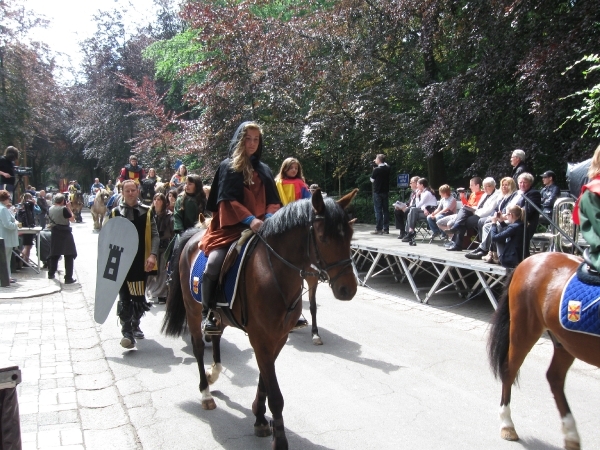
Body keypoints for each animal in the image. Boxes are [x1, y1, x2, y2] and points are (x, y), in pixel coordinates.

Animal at [161, 188, 356, 448]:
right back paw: (205, 392)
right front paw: (279, 438)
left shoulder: (278, 338)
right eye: (324, 237)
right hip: (193, 311)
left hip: (219, 316)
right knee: (198, 347)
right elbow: (275, 394)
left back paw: (215, 371)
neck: (274, 272)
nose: (348, 289)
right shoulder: (260, 339)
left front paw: (260, 417)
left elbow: (265, 380)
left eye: (350, 236)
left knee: (216, 337)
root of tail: (194, 236)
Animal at [488, 251, 600, 450]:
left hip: (564, 342)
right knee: (509, 370)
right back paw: (507, 424)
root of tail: (529, 259)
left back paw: (571, 435)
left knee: (554, 377)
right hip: (524, 330)